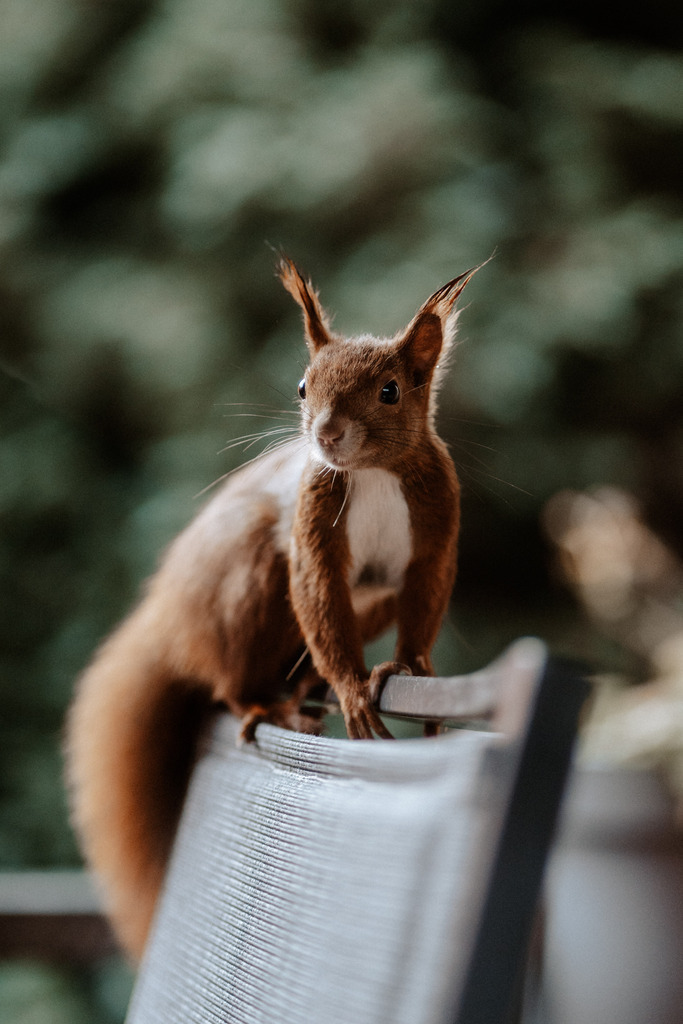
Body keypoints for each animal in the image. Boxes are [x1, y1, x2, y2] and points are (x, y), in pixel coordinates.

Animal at [65, 257, 478, 961]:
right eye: (302, 386)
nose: (326, 435)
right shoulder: (312, 517)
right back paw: (268, 703)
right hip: (247, 584)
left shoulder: (435, 526)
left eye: (391, 391)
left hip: (364, 602)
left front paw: (410, 667)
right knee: (230, 682)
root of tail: (169, 624)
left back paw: (303, 684)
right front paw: (352, 689)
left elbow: (424, 596)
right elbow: (317, 594)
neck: (371, 472)